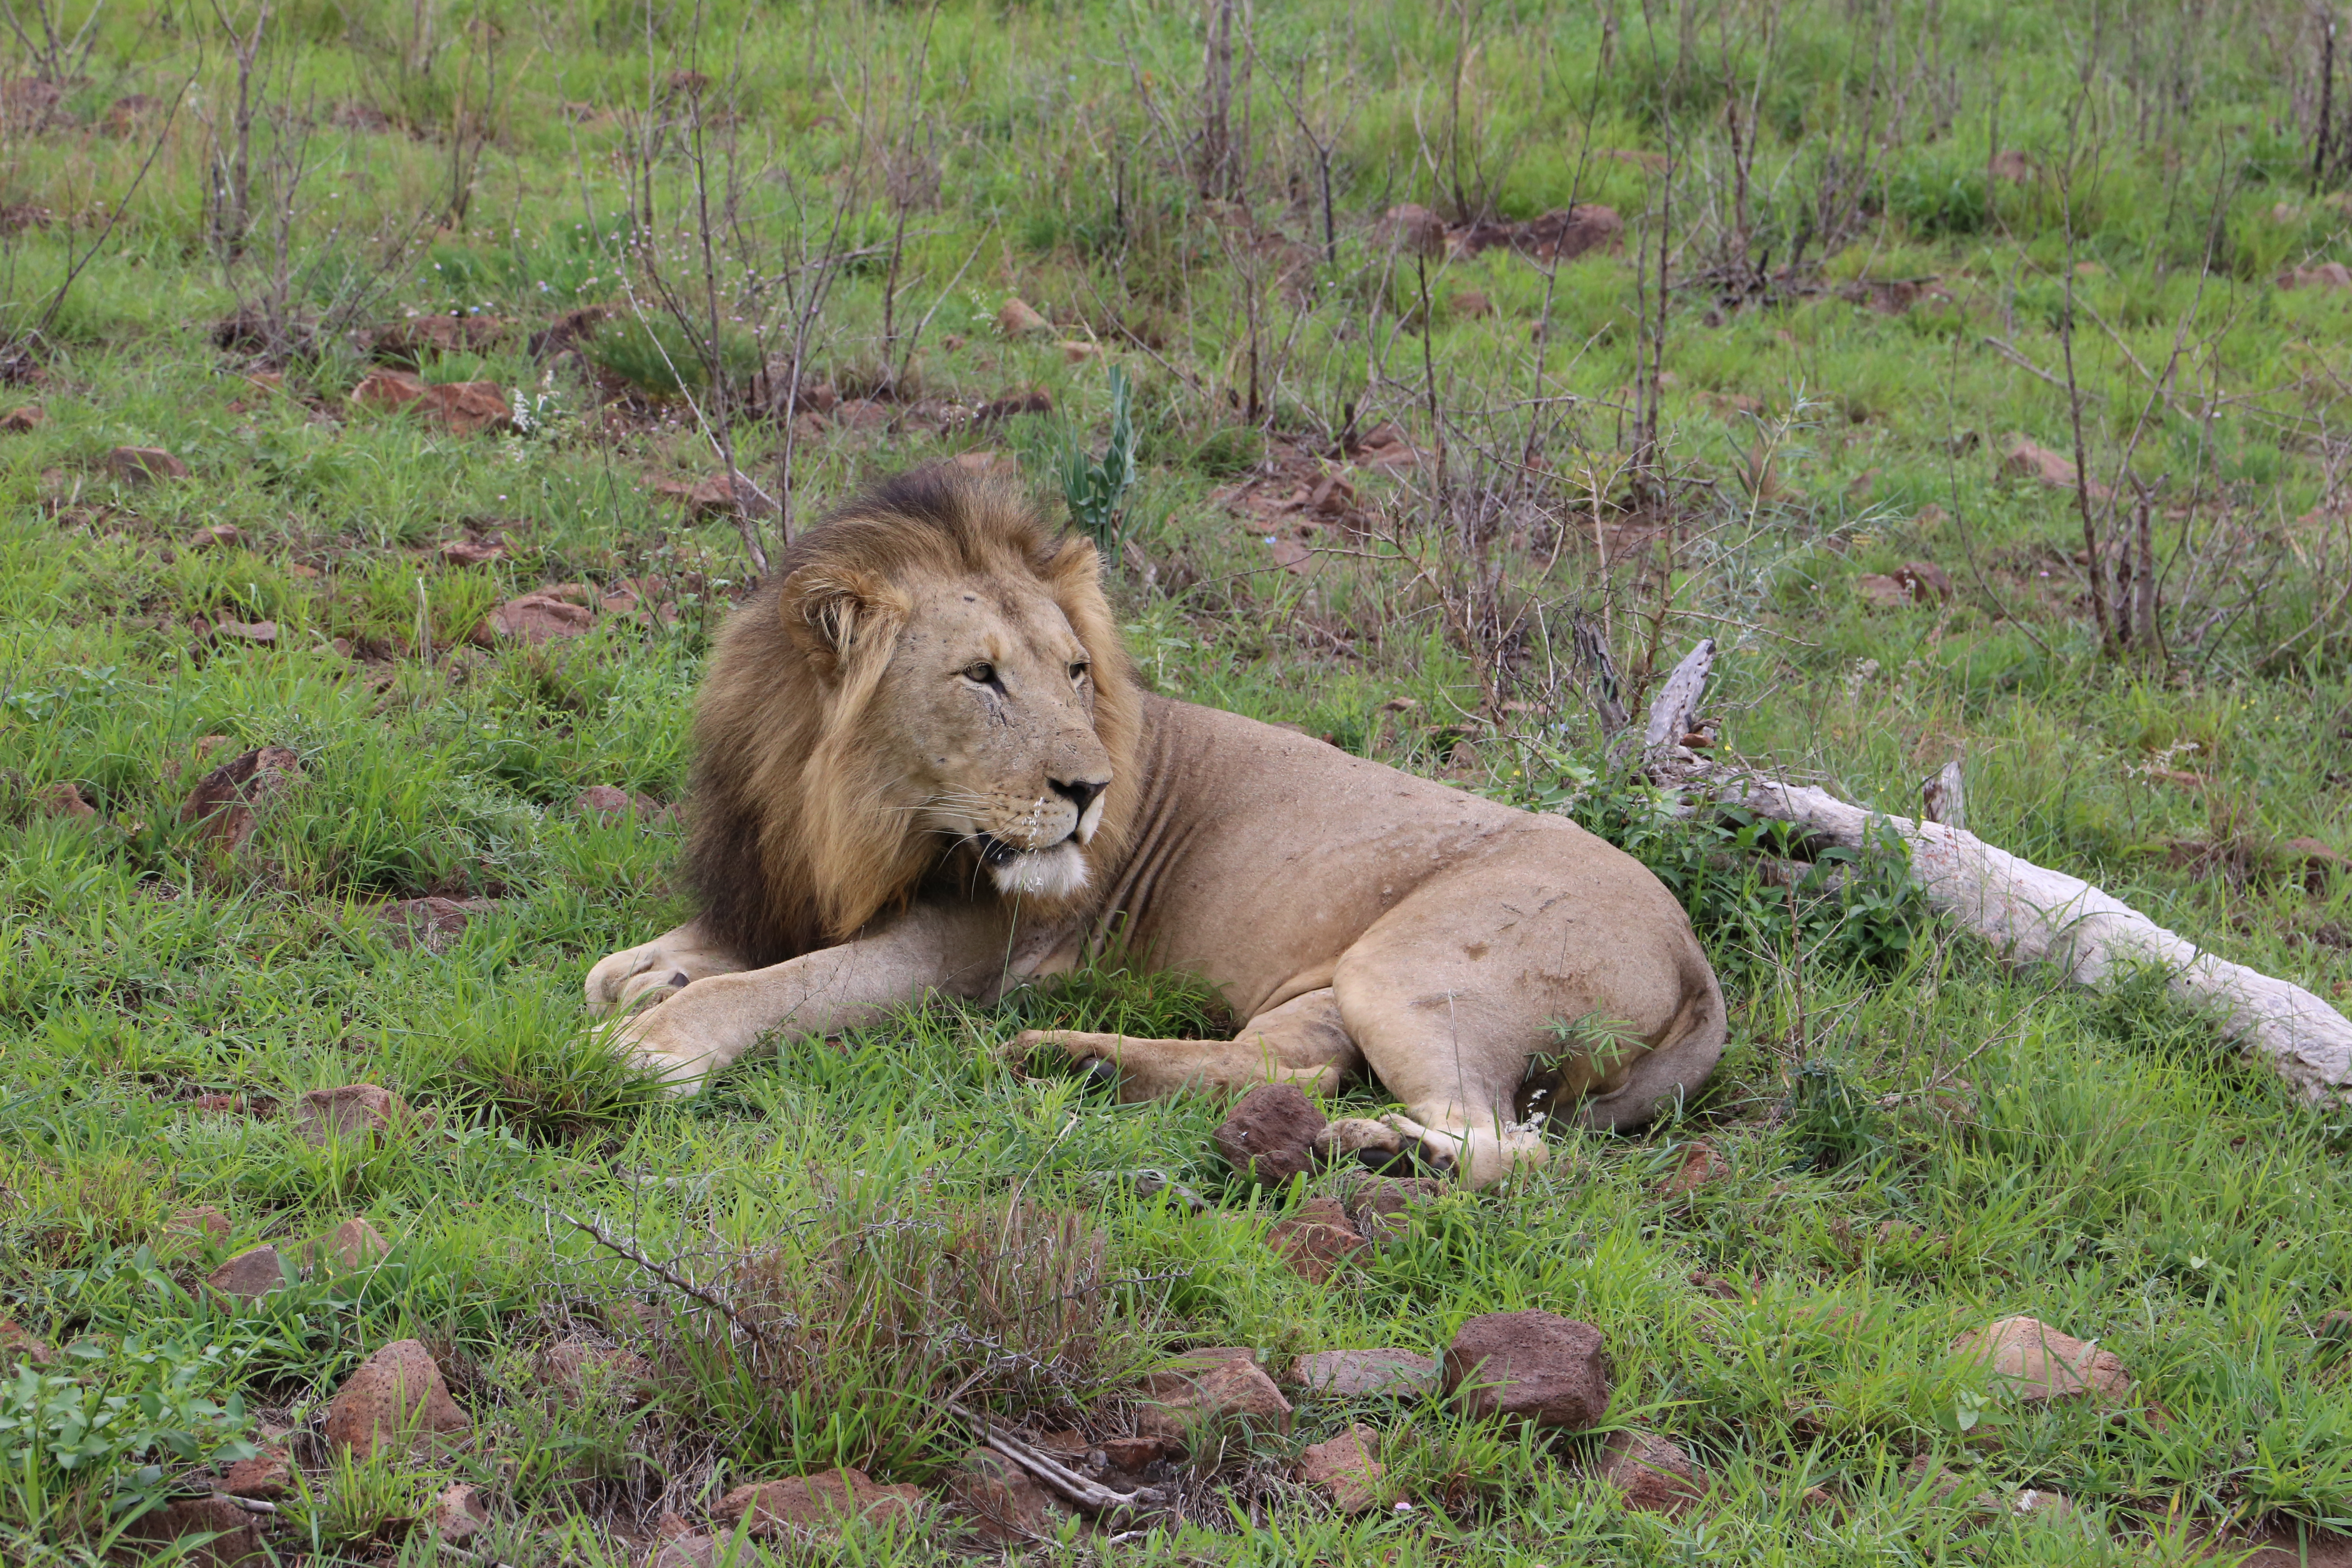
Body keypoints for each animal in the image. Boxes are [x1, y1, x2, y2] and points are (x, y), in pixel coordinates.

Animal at [588, 465, 1731, 1189]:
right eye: (981, 677)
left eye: (1074, 671)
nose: (1090, 791)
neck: (840, 802)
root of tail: (1693, 958)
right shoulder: (785, 883)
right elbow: (669, 960)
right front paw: (646, 973)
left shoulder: (961, 951)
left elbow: (771, 987)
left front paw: (654, 1043)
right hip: (1335, 986)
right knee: (1285, 1067)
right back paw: (1072, 1062)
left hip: (1409, 967)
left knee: (1510, 1150)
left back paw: (1377, 1152)